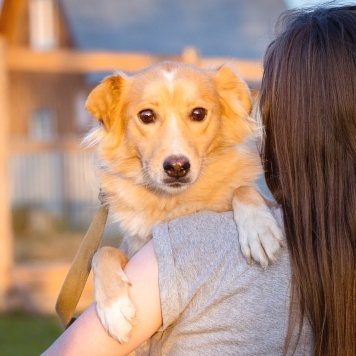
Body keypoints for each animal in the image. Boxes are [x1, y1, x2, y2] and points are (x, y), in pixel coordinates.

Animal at [84, 62, 284, 344]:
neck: (176, 204)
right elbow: (102, 252)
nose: (177, 166)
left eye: (198, 113)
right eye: (146, 115)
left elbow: (243, 189)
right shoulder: (134, 247)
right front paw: (114, 307)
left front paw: (258, 229)